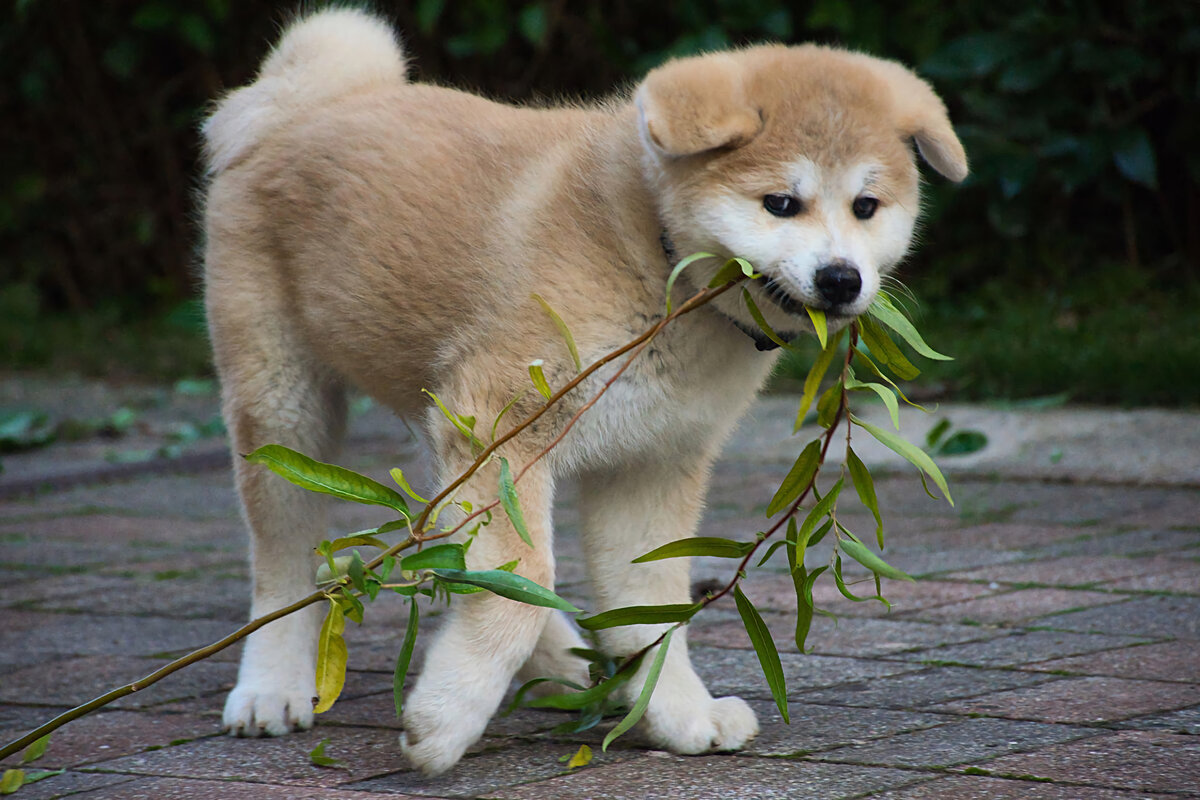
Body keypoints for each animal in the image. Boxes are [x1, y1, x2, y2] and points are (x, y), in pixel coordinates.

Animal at [199, 9, 964, 777]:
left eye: (866, 206)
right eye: (781, 204)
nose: (842, 279)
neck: (655, 260)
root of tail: (307, 103)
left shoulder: (648, 464)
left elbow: (647, 608)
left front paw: (675, 710)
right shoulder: (502, 424)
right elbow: (524, 579)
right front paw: (446, 718)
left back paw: (569, 669)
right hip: (285, 409)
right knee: (286, 558)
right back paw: (272, 685)